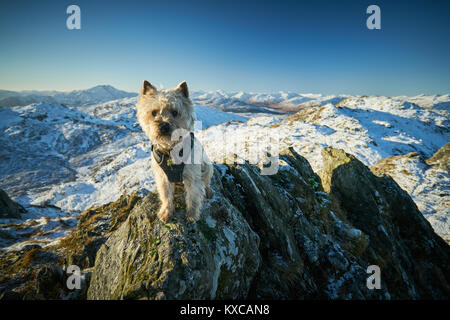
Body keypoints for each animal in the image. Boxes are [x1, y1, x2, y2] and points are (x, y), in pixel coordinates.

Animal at [136, 80, 214, 222]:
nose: (163, 126)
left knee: (206, 181)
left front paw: (192, 214)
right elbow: (166, 195)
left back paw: (208, 191)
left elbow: (193, 195)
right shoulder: (162, 176)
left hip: (207, 166)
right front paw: (166, 212)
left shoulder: (192, 175)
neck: (170, 150)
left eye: (175, 112)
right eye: (154, 112)